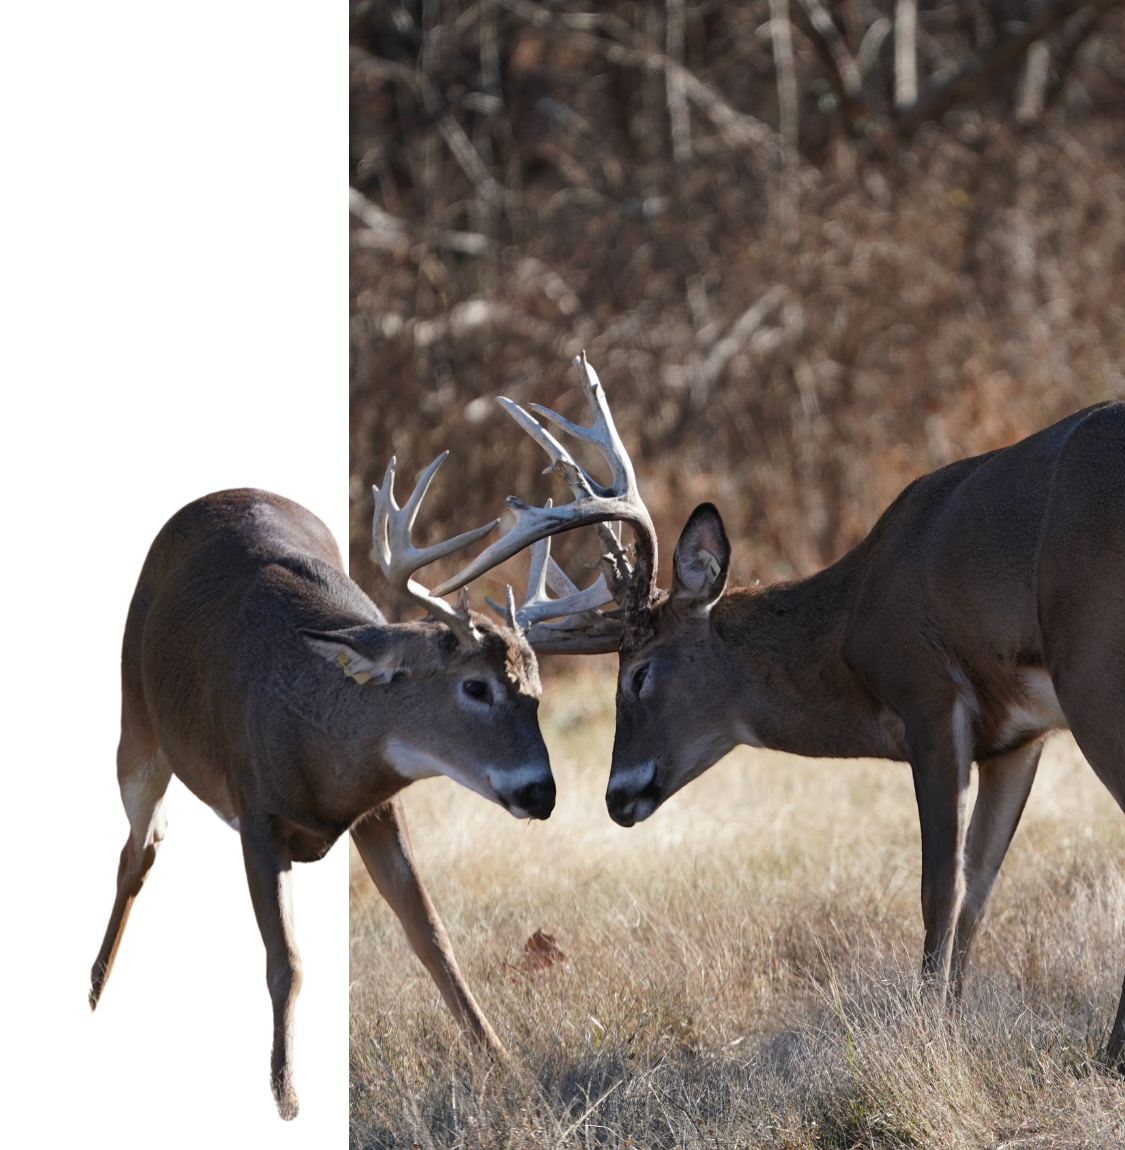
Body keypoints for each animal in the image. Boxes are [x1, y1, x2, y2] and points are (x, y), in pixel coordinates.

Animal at [87, 454, 593, 1121]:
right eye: (475, 687)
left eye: (536, 690)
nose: (541, 792)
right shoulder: (255, 811)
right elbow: (288, 962)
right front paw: (286, 1093)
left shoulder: (382, 811)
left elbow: (433, 936)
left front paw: (504, 1061)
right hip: (138, 723)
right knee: (140, 845)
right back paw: (94, 989)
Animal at [465, 352, 1125, 1066]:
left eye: (639, 673)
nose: (616, 796)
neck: (848, 623)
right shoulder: (1018, 736)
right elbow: (979, 887)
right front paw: (949, 1025)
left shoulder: (929, 695)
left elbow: (938, 888)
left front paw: (924, 1034)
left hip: (1092, 666)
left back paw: (1109, 1053)